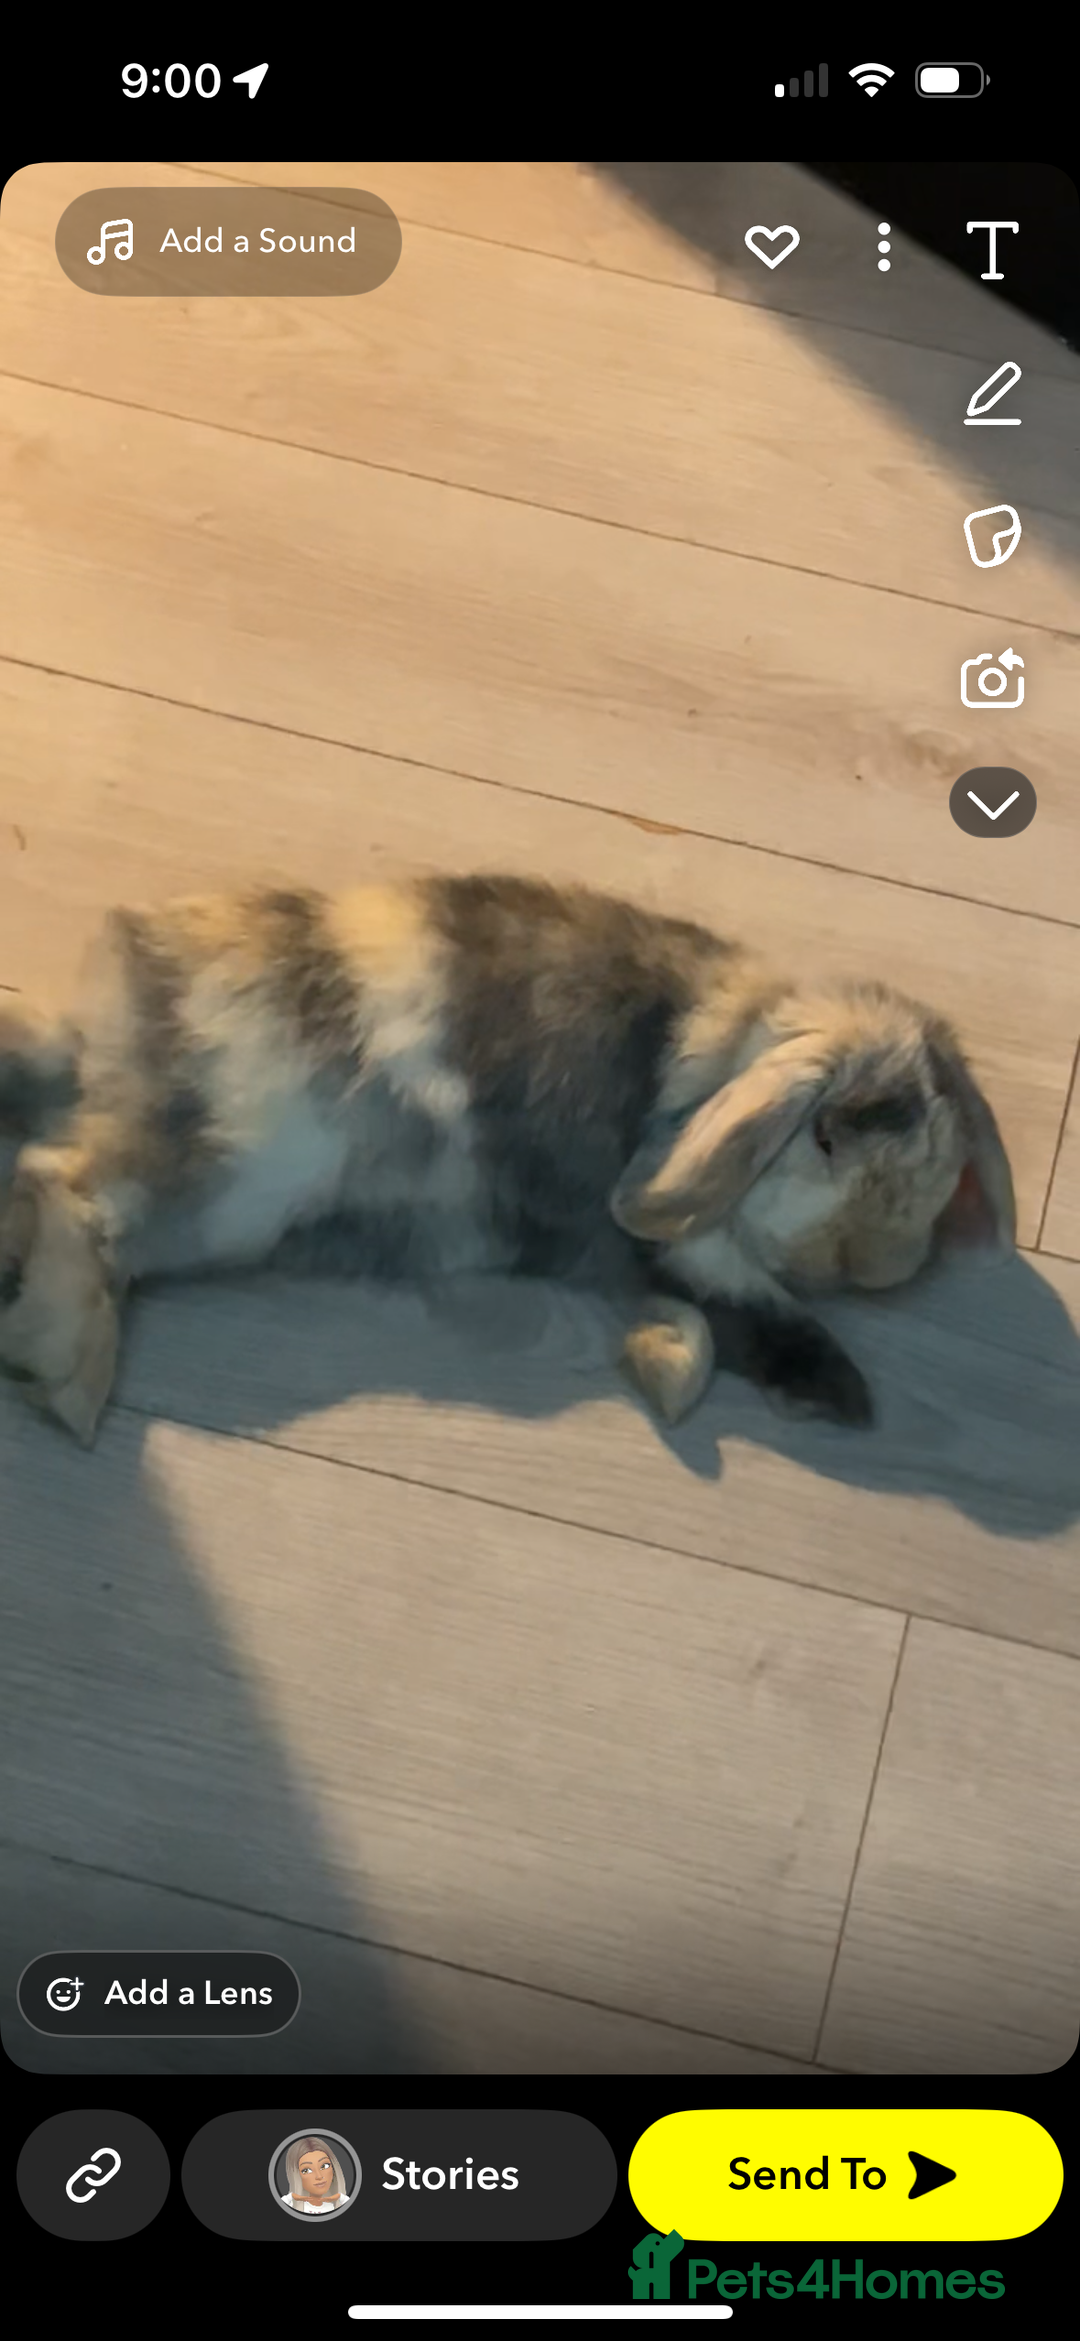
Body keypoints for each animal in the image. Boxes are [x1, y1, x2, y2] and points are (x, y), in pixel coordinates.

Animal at [0, 871, 1015, 1446]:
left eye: (941, 1162)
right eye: (832, 1130)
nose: (878, 1268)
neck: (741, 1051)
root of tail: (108, 1030)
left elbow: (701, 1312)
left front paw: (671, 1365)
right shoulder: (682, 1220)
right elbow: (744, 1292)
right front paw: (840, 1389)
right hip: (238, 1166)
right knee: (67, 1183)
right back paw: (72, 1379)